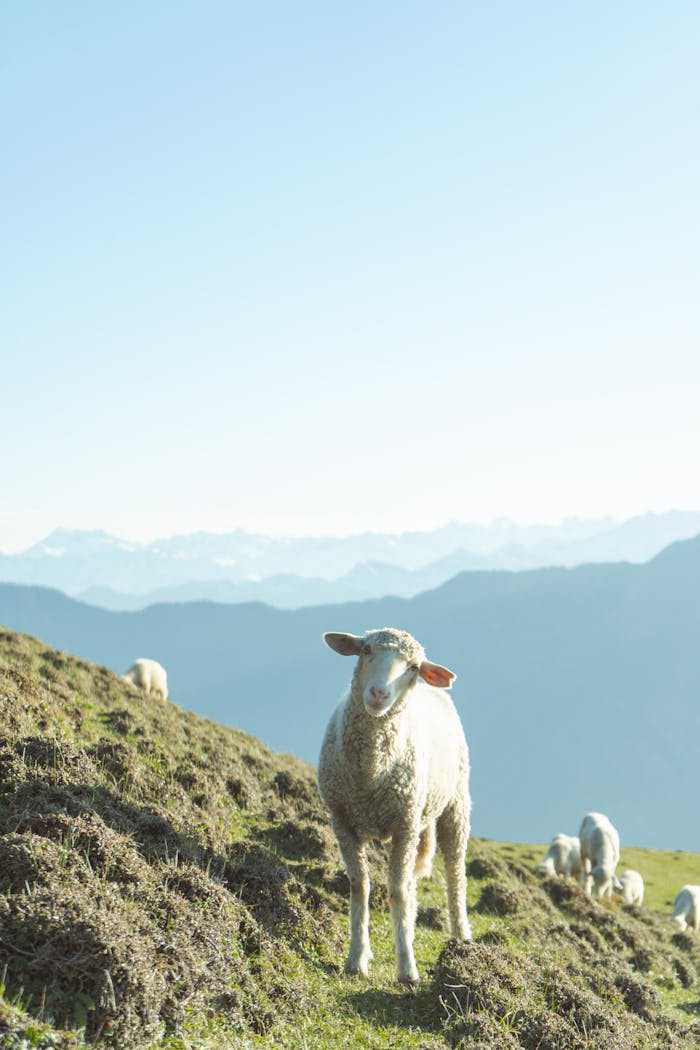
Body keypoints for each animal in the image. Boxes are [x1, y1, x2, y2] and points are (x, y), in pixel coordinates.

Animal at [317, 627, 471, 986]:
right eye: (366, 650)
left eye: (413, 667)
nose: (378, 694)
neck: (371, 773)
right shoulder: (343, 821)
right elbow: (360, 886)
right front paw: (357, 958)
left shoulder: (403, 825)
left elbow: (397, 891)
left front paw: (407, 969)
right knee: (413, 880)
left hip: (454, 805)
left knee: (455, 874)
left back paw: (461, 937)